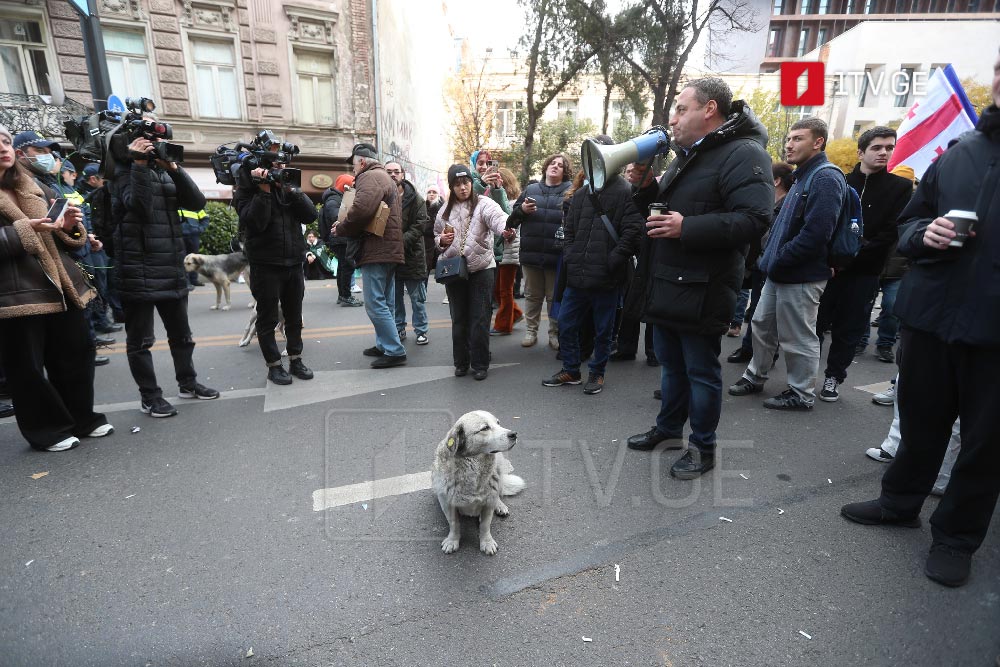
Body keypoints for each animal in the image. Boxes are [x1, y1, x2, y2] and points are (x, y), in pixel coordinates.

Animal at [430, 410, 524, 556]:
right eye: (485, 428)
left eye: (498, 423)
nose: (514, 434)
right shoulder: (447, 503)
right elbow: (454, 524)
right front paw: (452, 540)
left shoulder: (489, 503)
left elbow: (485, 525)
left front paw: (487, 542)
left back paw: (499, 506)